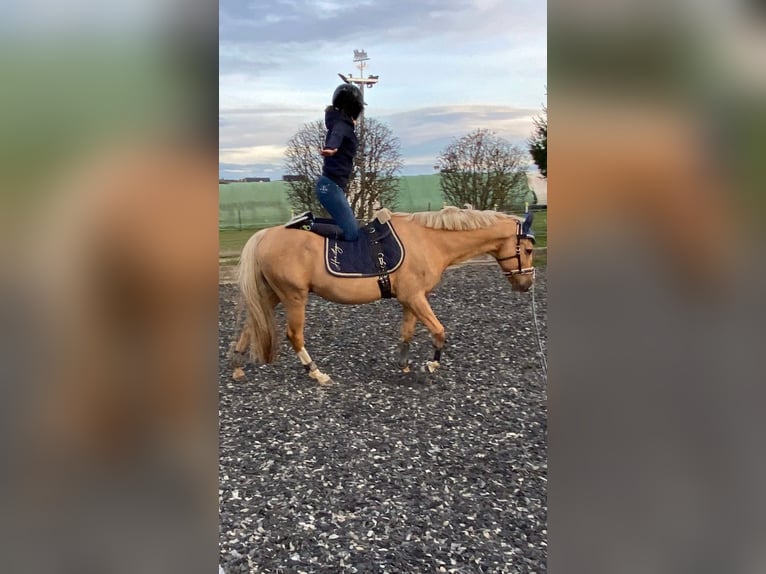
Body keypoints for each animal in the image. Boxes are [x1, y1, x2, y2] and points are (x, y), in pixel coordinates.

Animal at [231, 207, 536, 388]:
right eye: (529, 249)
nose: (527, 284)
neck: (429, 240)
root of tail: (265, 235)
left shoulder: (411, 299)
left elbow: (407, 333)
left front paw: (404, 365)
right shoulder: (415, 297)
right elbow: (439, 331)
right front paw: (431, 365)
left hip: (272, 294)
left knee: (251, 324)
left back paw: (237, 365)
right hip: (294, 297)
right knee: (294, 335)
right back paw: (316, 373)